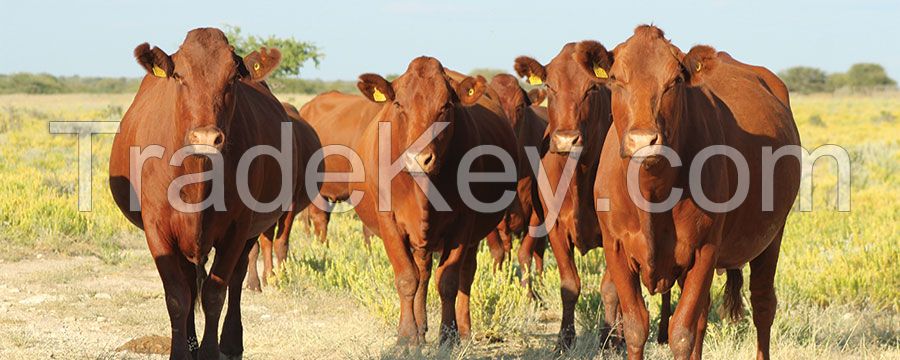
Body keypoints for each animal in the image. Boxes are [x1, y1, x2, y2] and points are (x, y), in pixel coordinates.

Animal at [109, 28, 322, 360]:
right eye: (179, 75)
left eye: (232, 78)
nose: (206, 137)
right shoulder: (157, 229)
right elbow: (177, 296)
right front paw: (181, 351)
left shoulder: (237, 229)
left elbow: (214, 292)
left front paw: (209, 350)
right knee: (189, 282)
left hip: (251, 229)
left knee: (237, 277)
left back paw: (232, 341)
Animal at [350, 57, 520, 344]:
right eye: (398, 104)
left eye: (446, 107)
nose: (419, 158)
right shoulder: (389, 222)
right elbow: (408, 278)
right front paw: (407, 338)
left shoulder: (463, 223)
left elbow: (448, 280)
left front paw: (448, 336)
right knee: (422, 272)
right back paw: (420, 327)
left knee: (464, 274)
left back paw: (463, 330)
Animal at [596, 23, 800, 358]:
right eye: (615, 79)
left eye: (674, 81)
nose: (643, 140)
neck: (652, 194)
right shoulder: (615, 248)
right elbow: (637, 328)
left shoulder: (704, 249)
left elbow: (681, 333)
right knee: (704, 315)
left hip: (772, 235)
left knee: (762, 305)